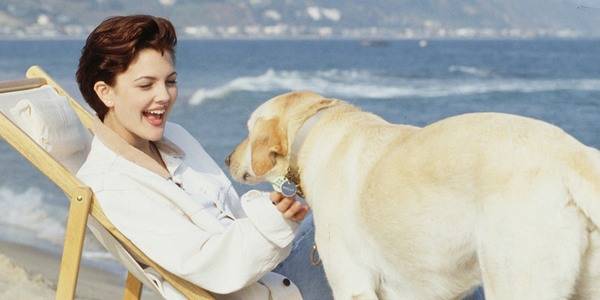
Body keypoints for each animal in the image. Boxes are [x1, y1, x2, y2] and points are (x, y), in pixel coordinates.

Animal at [226, 91, 600, 300]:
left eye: (247, 130)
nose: (228, 158)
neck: (317, 126)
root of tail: (571, 154)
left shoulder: (352, 283)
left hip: (515, 277)